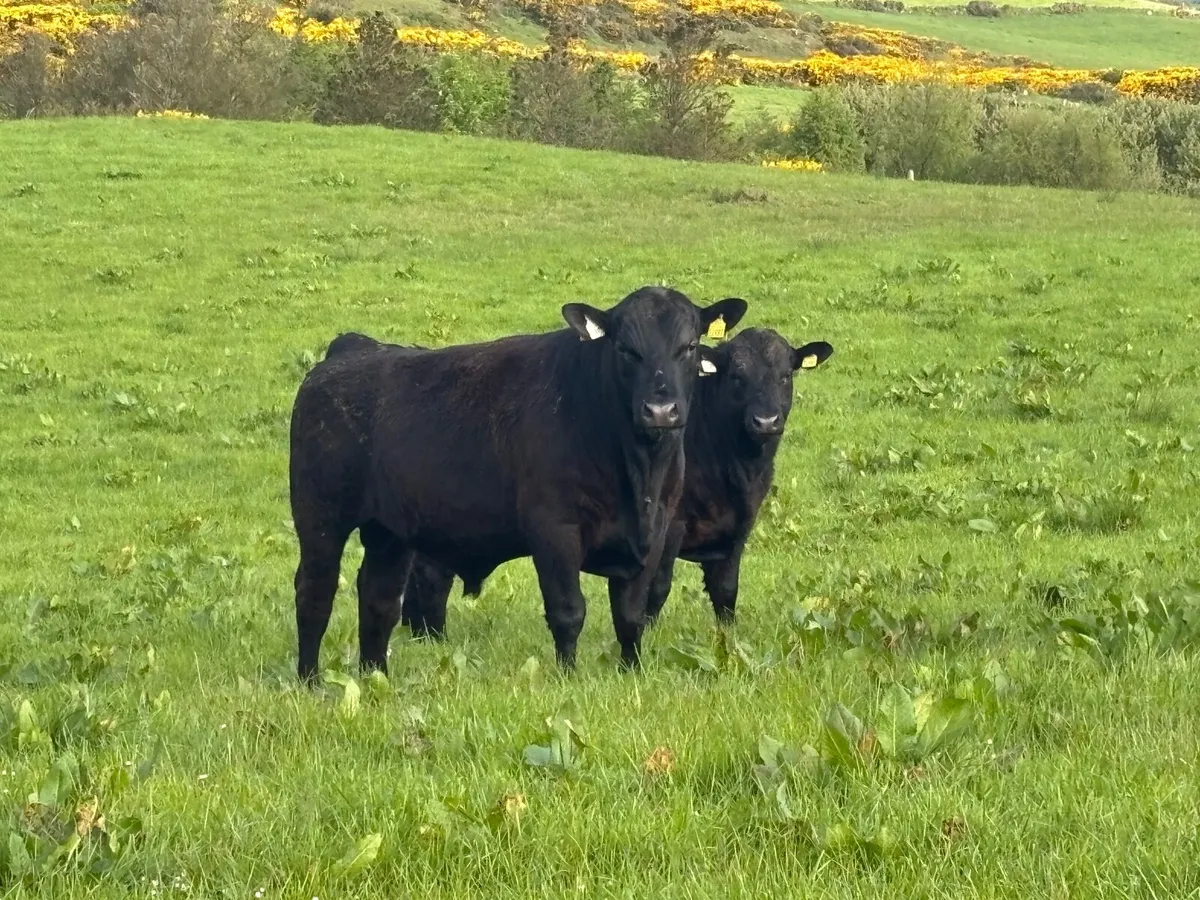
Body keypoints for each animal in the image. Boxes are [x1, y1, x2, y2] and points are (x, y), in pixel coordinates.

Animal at [288, 287, 748, 681]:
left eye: (689, 347)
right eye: (625, 349)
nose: (661, 410)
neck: (638, 475)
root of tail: (354, 349)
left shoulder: (656, 532)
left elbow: (631, 616)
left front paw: (630, 672)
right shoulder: (554, 531)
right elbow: (568, 612)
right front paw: (568, 677)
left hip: (389, 532)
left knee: (379, 599)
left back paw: (375, 677)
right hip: (319, 518)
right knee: (314, 591)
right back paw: (310, 680)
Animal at [395, 328, 834, 642]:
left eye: (785, 376)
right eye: (737, 377)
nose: (766, 421)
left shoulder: (738, 528)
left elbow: (726, 590)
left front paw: (727, 637)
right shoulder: (669, 528)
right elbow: (657, 589)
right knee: (431, 580)